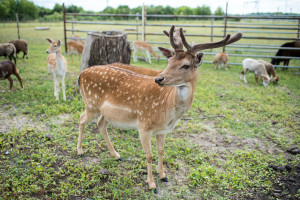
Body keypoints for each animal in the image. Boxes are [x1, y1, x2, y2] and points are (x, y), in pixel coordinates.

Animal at [77, 25, 241, 193]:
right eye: (169, 61)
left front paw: (163, 175)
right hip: (90, 103)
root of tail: (81, 74)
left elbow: (161, 151)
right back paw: (80, 152)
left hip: (105, 112)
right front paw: (151, 184)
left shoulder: (162, 130)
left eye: (186, 65)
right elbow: (149, 155)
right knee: (81, 119)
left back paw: (116, 155)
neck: (168, 112)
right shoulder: (143, 126)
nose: (159, 78)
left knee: (100, 124)